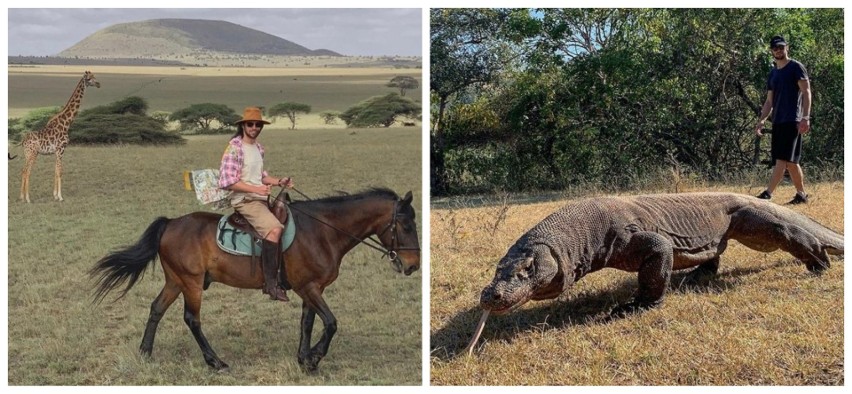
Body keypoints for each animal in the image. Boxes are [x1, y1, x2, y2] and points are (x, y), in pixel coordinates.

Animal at [20, 69, 100, 203]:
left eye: (94, 76)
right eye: (89, 79)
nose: (98, 84)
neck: (67, 123)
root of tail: (23, 141)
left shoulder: (57, 151)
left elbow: (55, 170)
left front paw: (55, 195)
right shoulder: (61, 149)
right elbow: (60, 171)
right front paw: (60, 197)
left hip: (27, 154)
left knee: (23, 170)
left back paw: (21, 196)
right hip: (33, 154)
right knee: (27, 172)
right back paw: (28, 199)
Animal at [90, 188, 420, 372]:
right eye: (405, 225)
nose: (413, 265)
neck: (322, 231)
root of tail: (170, 223)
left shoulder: (310, 288)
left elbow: (307, 323)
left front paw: (304, 359)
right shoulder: (310, 288)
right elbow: (331, 323)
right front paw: (314, 358)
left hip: (175, 281)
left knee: (156, 308)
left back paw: (145, 353)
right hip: (191, 284)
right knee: (192, 319)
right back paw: (216, 362)